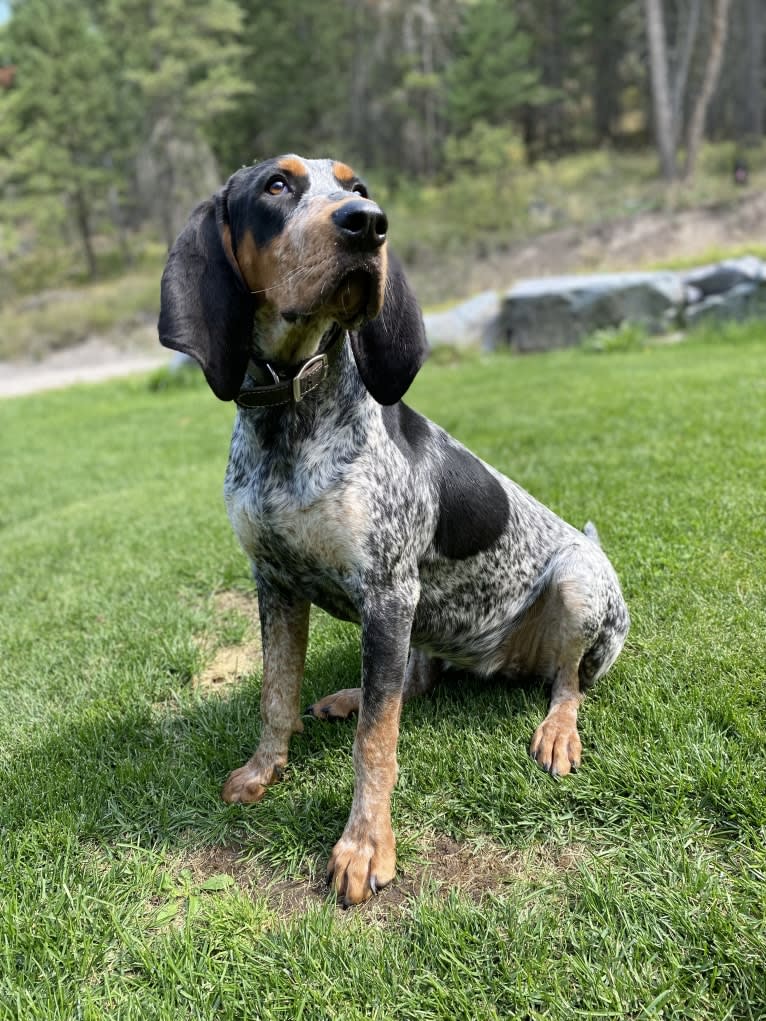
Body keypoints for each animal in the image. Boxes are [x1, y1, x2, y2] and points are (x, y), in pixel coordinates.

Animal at [159, 155, 633, 906]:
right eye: (276, 186)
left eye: (357, 187)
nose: (368, 224)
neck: (290, 416)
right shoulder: (275, 583)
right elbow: (276, 695)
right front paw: (264, 771)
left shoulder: (386, 593)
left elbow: (376, 743)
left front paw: (365, 845)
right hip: (423, 622)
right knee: (412, 684)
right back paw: (350, 697)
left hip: (576, 583)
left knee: (566, 683)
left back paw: (557, 730)